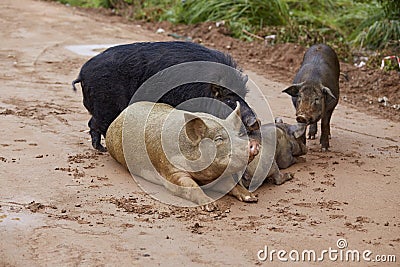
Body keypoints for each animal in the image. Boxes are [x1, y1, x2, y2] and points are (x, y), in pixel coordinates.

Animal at [72, 41, 260, 152]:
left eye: (244, 96)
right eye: (228, 99)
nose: (255, 122)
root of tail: (83, 73)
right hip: (106, 105)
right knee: (97, 124)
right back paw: (102, 149)